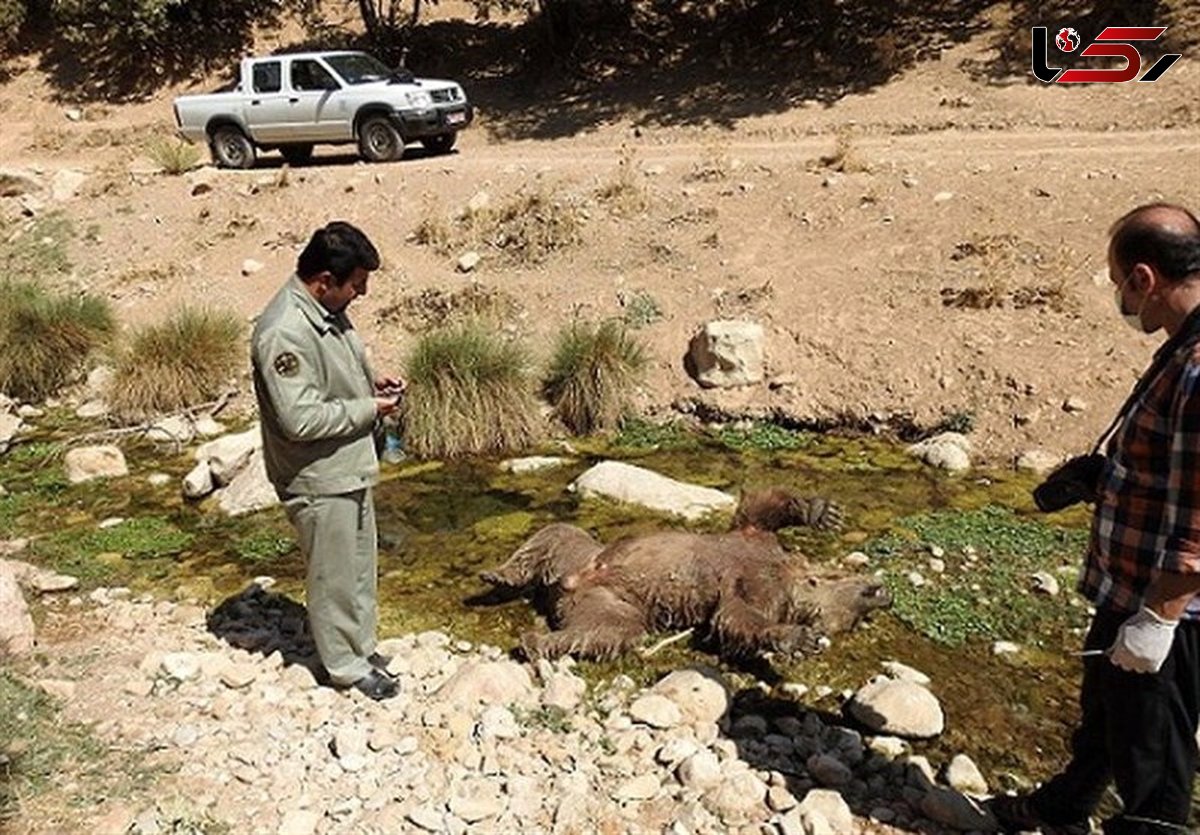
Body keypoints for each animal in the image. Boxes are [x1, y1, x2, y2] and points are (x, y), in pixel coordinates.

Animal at [480, 487, 892, 662]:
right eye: (864, 597)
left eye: (856, 620)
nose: (884, 592)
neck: (790, 573)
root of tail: (566, 585)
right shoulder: (758, 546)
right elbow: (759, 509)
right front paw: (823, 512)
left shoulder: (763, 590)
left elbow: (733, 616)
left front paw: (793, 637)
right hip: (587, 552)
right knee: (555, 532)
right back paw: (494, 576)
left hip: (609, 601)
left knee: (607, 631)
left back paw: (534, 641)